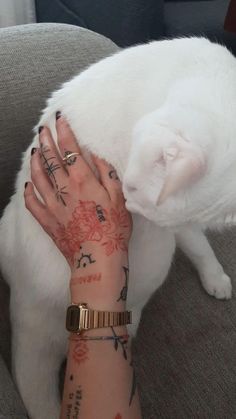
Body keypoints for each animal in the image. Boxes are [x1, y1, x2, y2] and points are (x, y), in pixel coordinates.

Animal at [0, 37, 236, 419]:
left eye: (135, 193)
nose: (125, 206)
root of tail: (32, 301)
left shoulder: (179, 227)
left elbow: (198, 243)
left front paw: (215, 277)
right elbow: (196, 242)